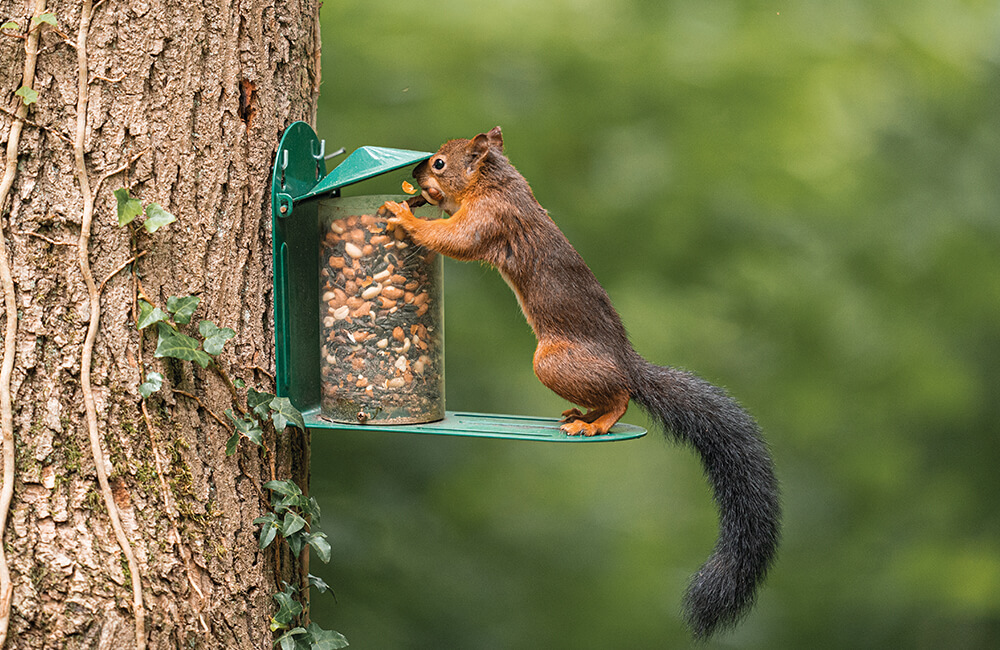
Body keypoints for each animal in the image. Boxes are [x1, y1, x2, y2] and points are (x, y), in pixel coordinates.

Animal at [382, 127, 780, 639]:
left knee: (622, 397)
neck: (497, 183)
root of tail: (628, 364)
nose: (414, 174)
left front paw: (405, 214)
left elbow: (455, 238)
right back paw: (582, 414)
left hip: (553, 363)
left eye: (438, 163)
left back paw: (598, 421)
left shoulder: (490, 219)